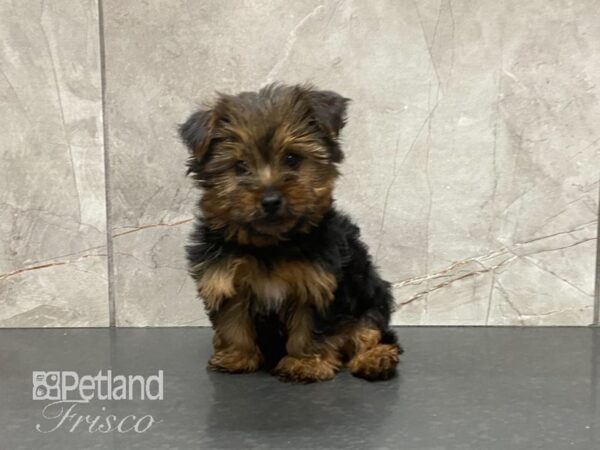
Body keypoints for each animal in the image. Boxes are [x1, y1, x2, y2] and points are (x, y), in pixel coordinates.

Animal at [179, 82, 404, 382]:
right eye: (240, 167)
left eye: (292, 158)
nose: (271, 200)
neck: (270, 244)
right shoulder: (224, 278)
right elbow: (232, 322)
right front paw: (237, 357)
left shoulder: (317, 283)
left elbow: (310, 329)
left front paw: (305, 363)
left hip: (370, 299)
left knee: (369, 330)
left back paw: (375, 359)